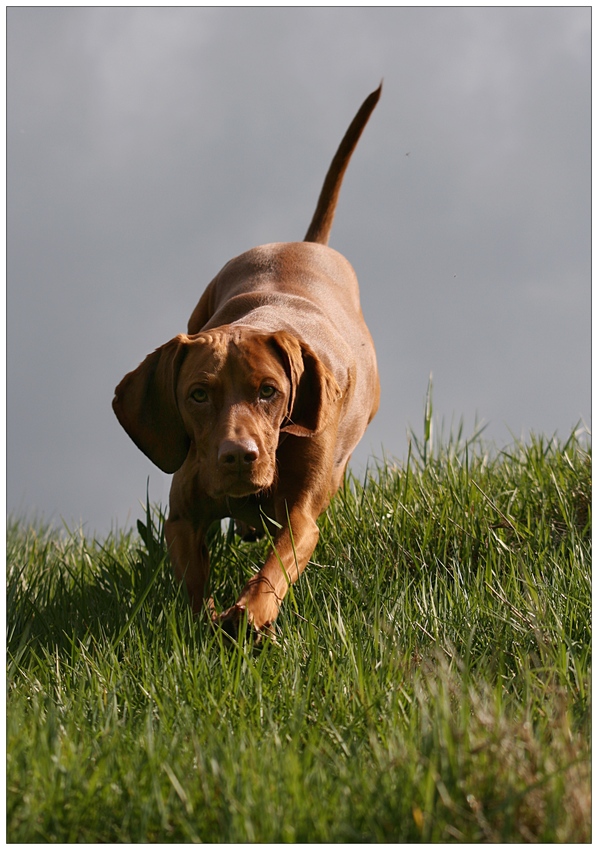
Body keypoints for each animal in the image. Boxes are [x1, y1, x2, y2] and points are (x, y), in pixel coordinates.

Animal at [113, 84, 380, 636]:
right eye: (198, 394)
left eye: (268, 391)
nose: (238, 457)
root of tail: (305, 244)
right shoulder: (182, 514)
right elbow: (194, 583)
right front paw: (207, 621)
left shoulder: (302, 518)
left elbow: (276, 566)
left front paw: (250, 615)